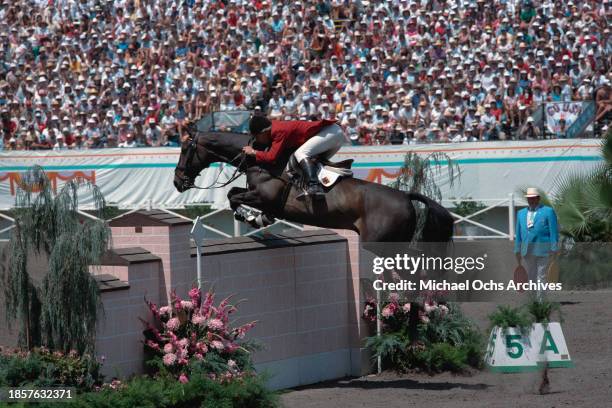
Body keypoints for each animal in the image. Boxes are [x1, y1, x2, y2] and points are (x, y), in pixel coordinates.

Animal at [172, 126, 454, 244]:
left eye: (185, 149)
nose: (177, 181)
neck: (260, 158)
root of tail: (406, 197)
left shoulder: (264, 196)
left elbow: (234, 197)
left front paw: (254, 218)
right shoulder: (257, 194)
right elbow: (233, 193)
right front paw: (257, 218)